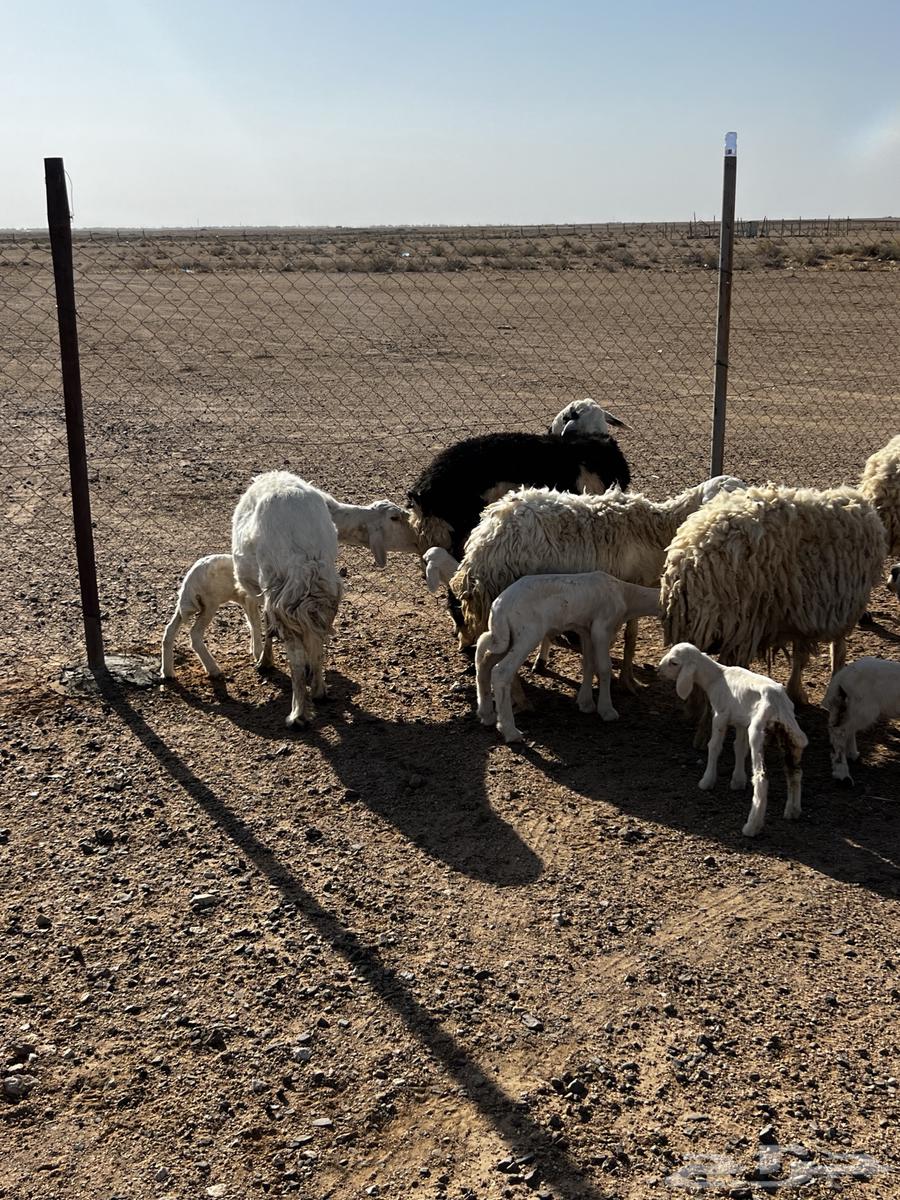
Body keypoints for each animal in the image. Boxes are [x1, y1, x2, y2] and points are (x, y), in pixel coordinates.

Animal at [232, 472, 343, 728]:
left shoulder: (262, 593)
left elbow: (264, 625)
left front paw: (264, 661)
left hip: (281, 591)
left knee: (296, 656)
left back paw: (298, 714)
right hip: (320, 592)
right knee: (318, 642)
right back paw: (319, 691)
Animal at [450, 475, 745, 687]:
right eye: (721, 495)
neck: (658, 528)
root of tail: (483, 538)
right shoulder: (630, 583)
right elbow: (630, 636)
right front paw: (626, 679)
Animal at [475, 571, 661, 743]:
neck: (626, 596)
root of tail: (498, 607)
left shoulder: (586, 630)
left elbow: (589, 664)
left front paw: (586, 703)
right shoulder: (601, 628)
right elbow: (604, 667)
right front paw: (607, 710)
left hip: (507, 638)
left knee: (484, 665)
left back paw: (487, 715)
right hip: (526, 634)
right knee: (501, 672)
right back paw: (510, 731)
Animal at [658, 643, 808, 838]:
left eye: (674, 662)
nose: (658, 670)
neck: (716, 677)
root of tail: (779, 704)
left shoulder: (720, 716)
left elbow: (714, 746)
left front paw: (707, 781)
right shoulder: (741, 721)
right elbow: (739, 748)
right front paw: (737, 781)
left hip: (757, 731)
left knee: (761, 778)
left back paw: (752, 826)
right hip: (789, 736)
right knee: (794, 773)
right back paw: (793, 811)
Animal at [661, 484, 888, 706]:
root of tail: (686, 564)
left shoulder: (804, 617)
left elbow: (801, 654)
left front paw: (796, 691)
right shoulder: (841, 608)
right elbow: (834, 652)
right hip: (739, 626)